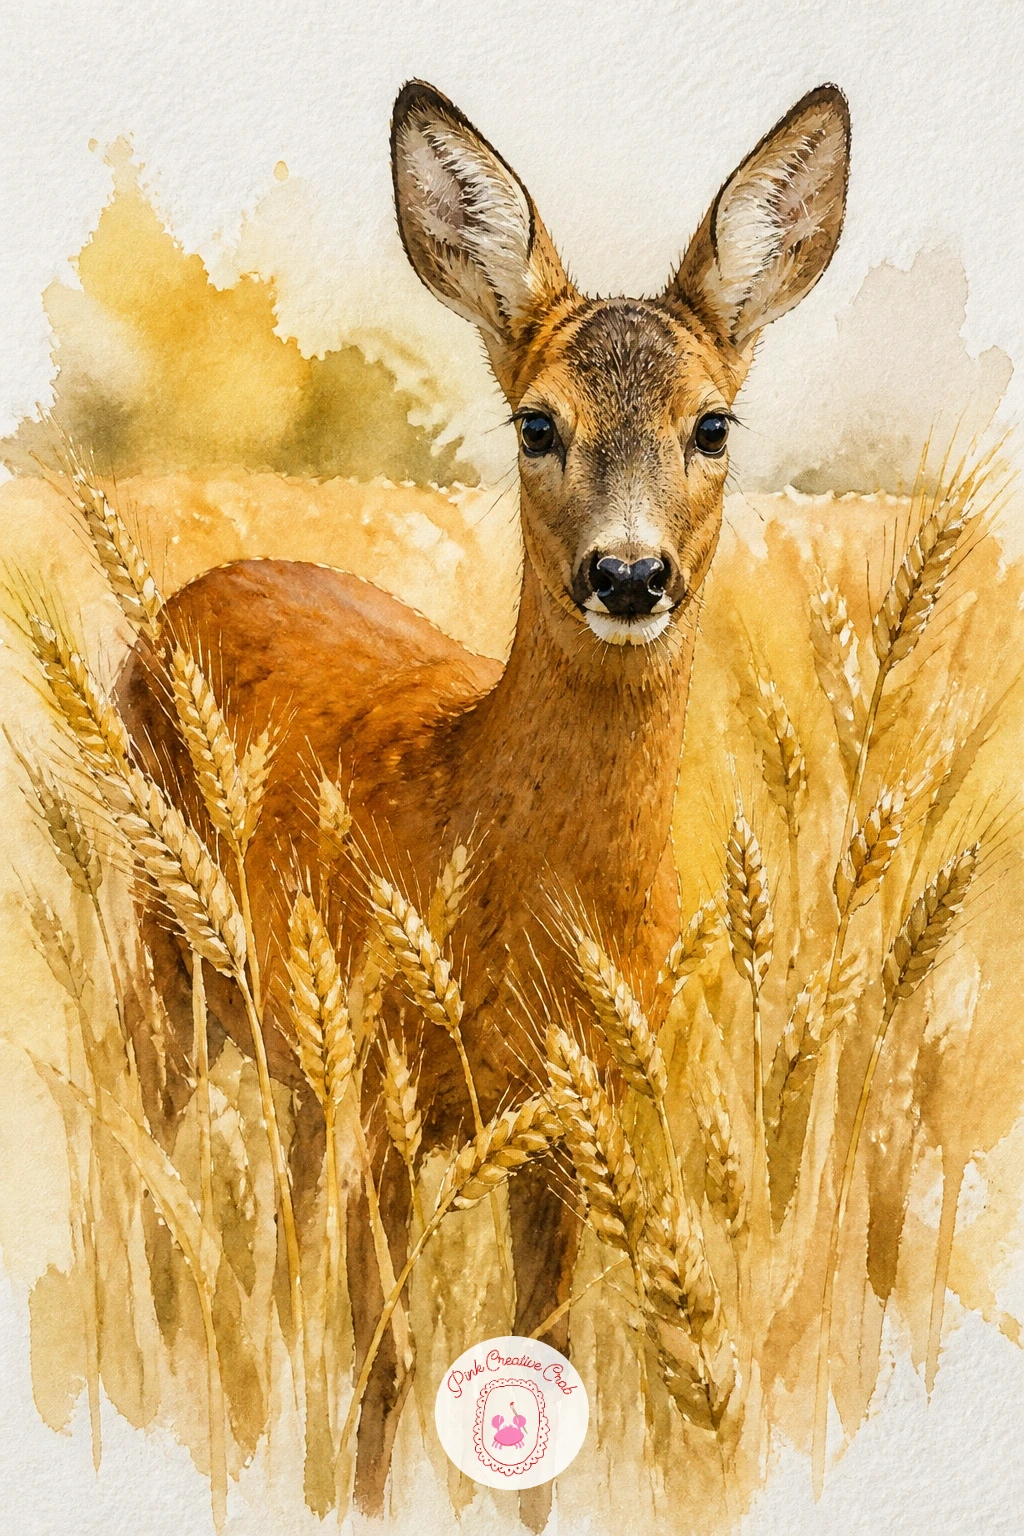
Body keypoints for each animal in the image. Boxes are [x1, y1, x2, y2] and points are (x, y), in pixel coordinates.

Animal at [118, 79, 850, 1520]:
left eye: (713, 424)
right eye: (536, 423)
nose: (629, 575)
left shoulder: (573, 1111)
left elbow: (544, 1346)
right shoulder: (392, 1083)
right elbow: (390, 1358)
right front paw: (354, 1498)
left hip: (296, 1047)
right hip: (167, 948)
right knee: (146, 1156)